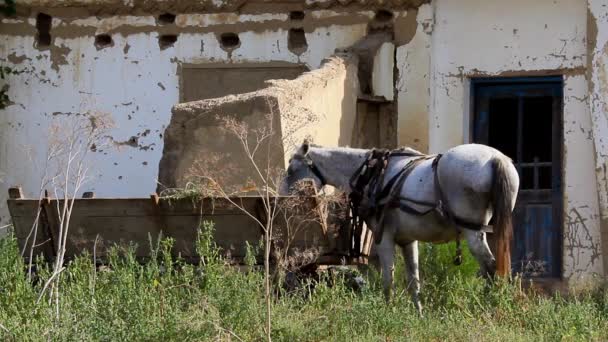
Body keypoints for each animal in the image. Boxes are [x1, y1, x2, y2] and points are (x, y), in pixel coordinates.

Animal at [280, 141, 516, 312]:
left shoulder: (384, 238)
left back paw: (488, 306)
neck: (372, 175)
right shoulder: (408, 240)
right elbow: (414, 280)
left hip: (473, 231)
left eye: (292, 169)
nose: (282, 201)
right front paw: (418, 314)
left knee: (491, 267)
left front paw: (389, 311)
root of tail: (495, 158)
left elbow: (388, 279)